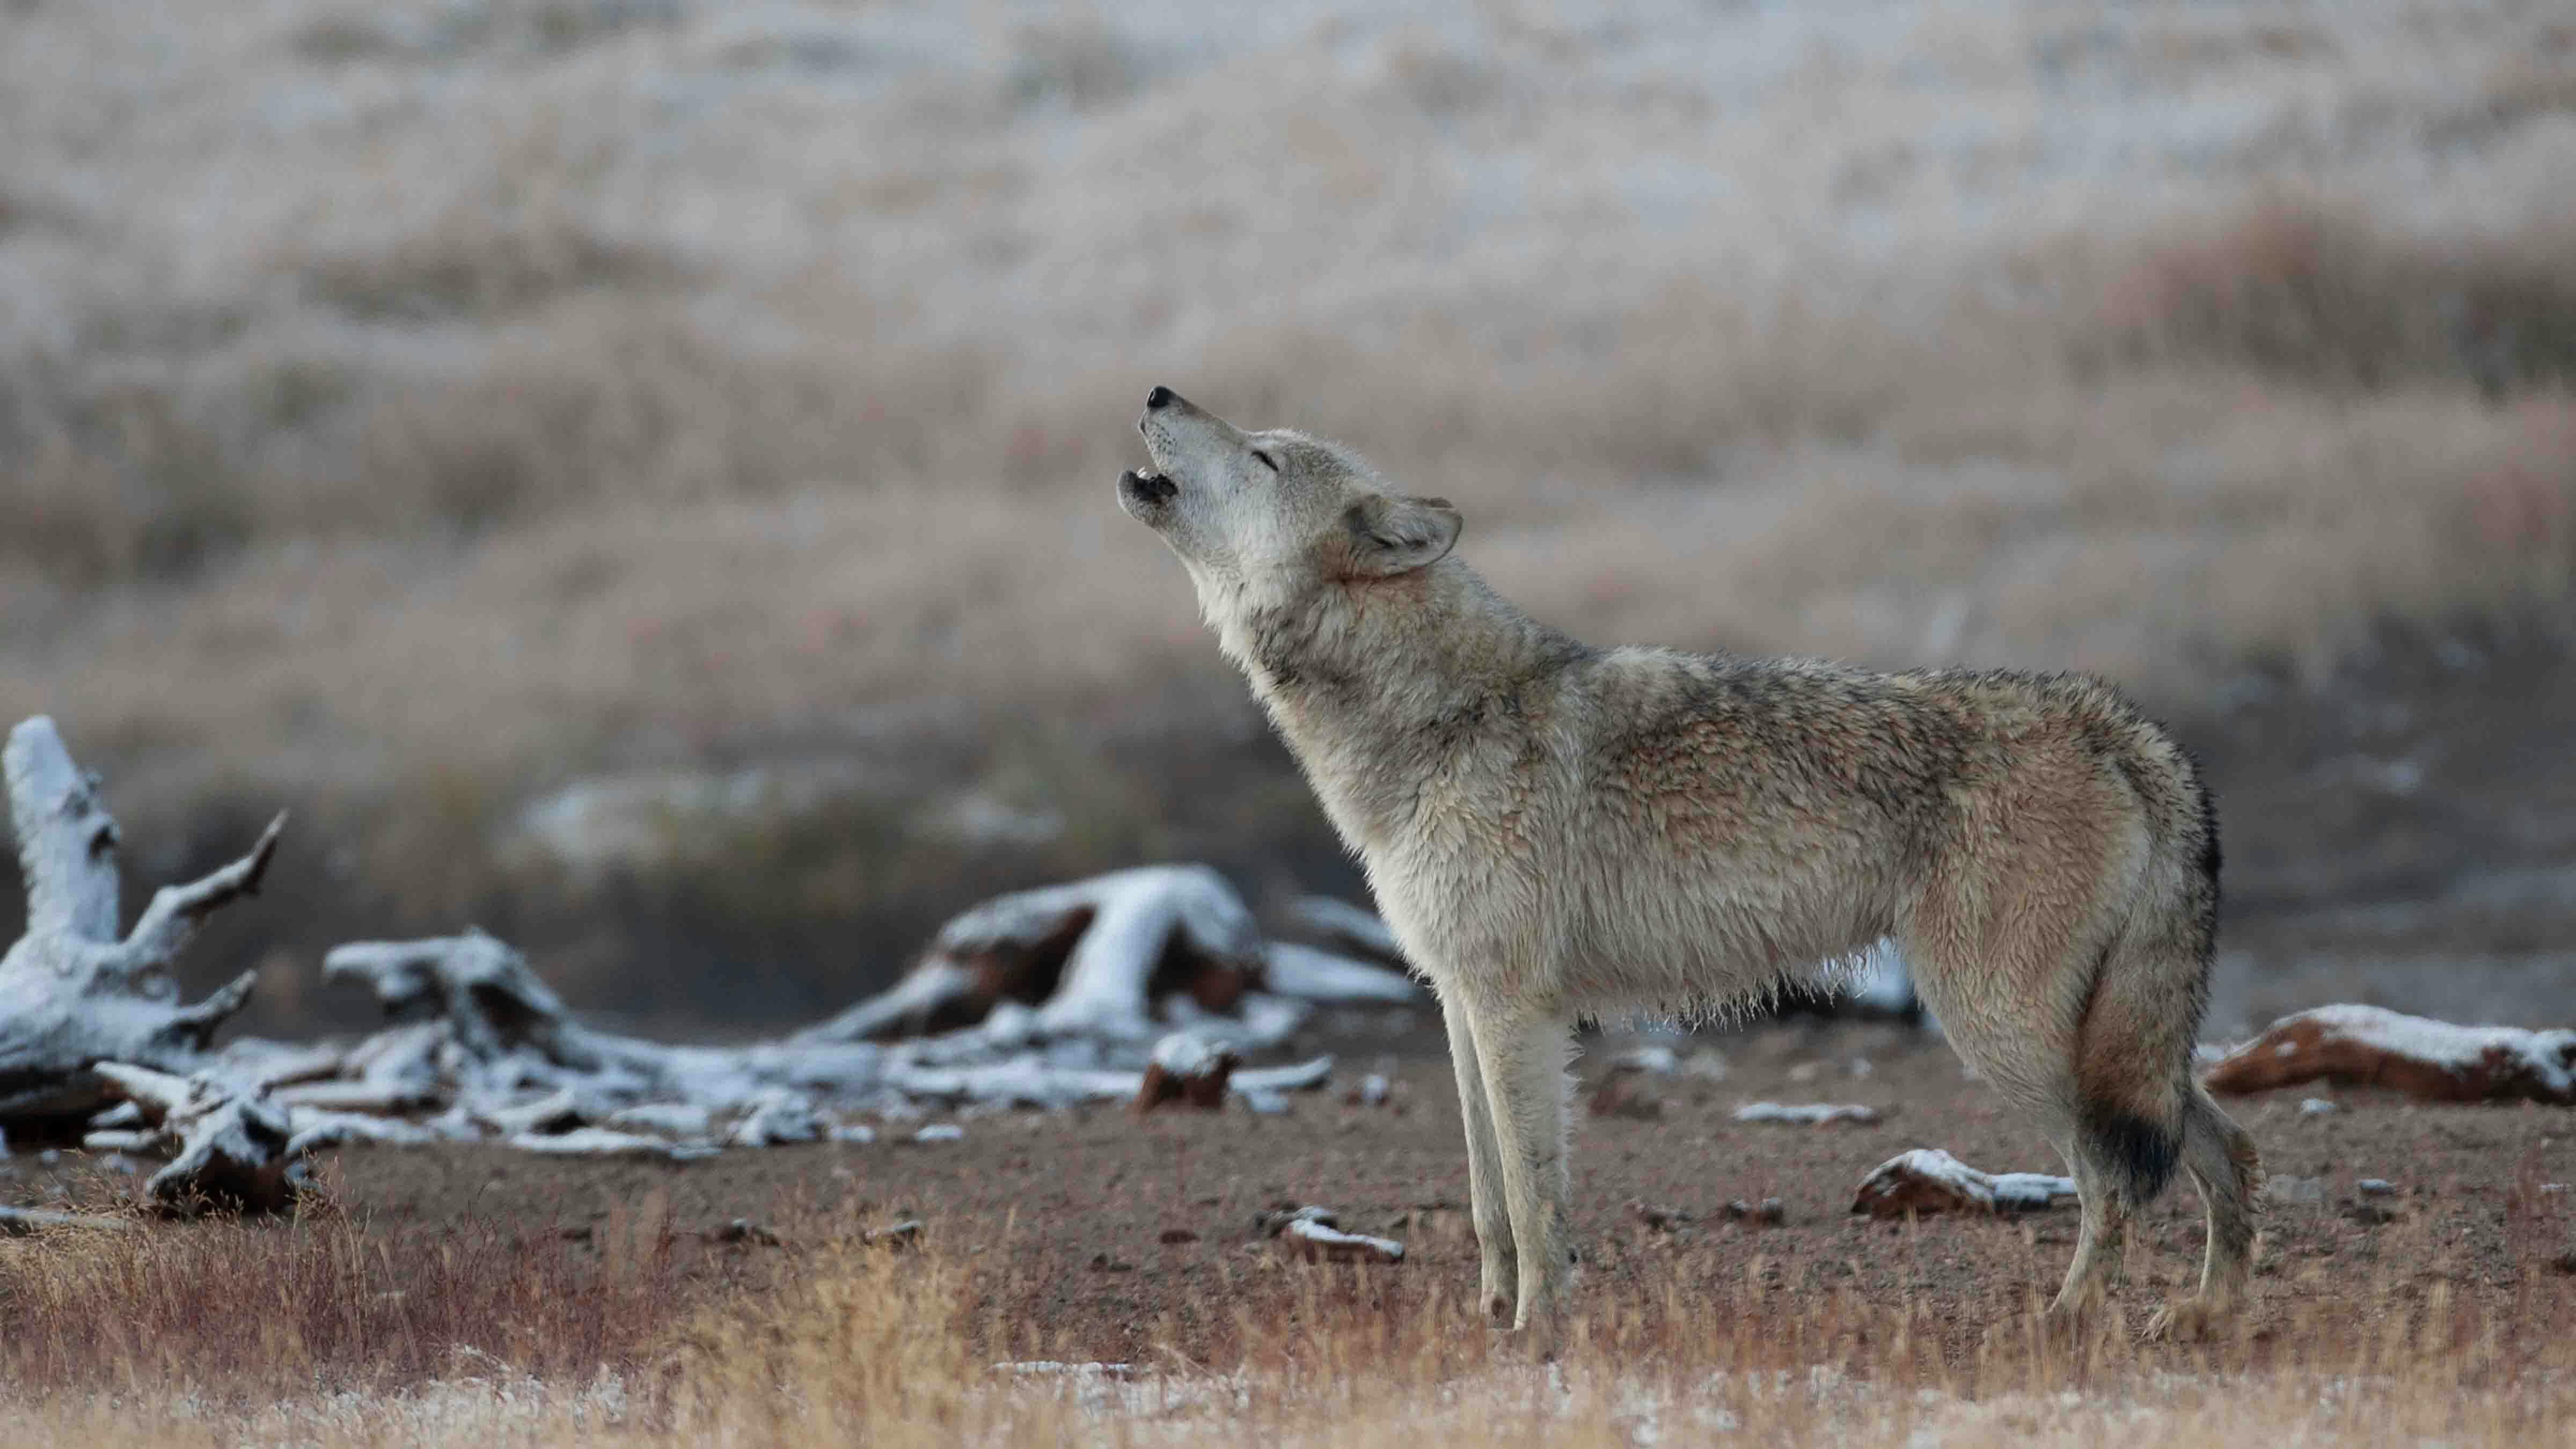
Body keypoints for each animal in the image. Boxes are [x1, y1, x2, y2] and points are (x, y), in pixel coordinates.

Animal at [1115, 387, 2260, 1352]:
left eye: (1263, 455)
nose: (1160, 392)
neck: (1440, 721)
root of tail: (2116, 721)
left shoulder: (1515, 1011)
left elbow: (1532, 1198)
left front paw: (1538, 1332)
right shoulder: (1459, 1001)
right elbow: (1487, 1199)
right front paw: (1490, 1321)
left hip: (2005, 1035)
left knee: (2115, 1180)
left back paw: (2067, 1322)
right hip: (2098, 1049)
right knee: (2225, 1147)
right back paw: (2208, 1314)